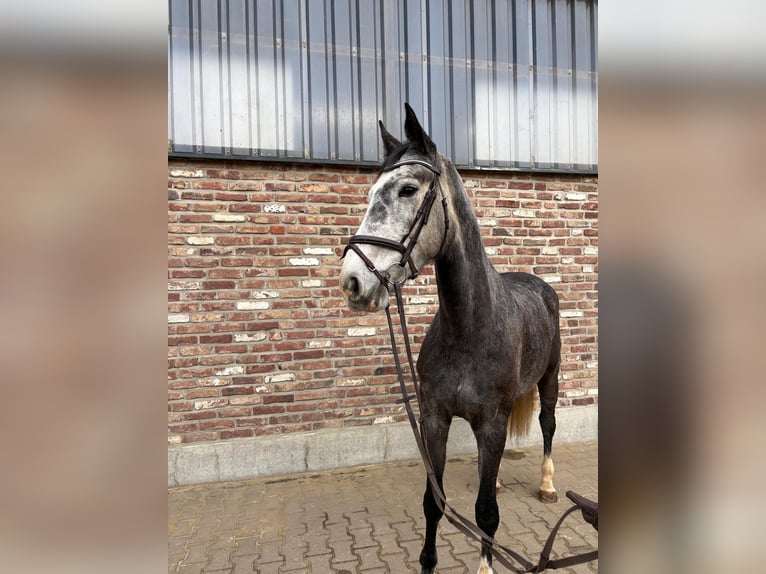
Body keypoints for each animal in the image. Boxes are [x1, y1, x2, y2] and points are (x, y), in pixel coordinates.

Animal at [339, 103, 561, 574]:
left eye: (407, 189)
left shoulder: (491, 425)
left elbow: (486, 513)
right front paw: (427, 562)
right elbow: (433, 502)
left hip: (550, 379)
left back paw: (548, 486)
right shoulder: (434, 419)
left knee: (549, 425)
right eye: (370, 192)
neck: (469, 329)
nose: (353, 281)